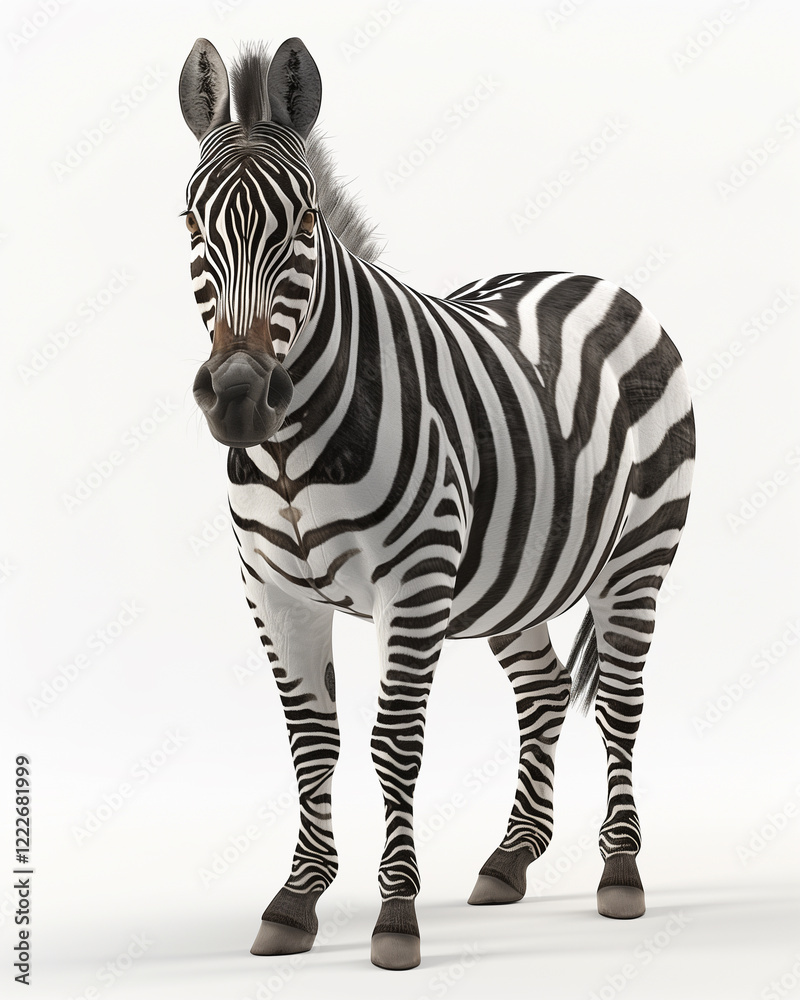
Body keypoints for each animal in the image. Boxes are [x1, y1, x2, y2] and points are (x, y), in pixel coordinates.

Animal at [178, 37, 695, 971]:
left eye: (304, 226)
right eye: (191, 227)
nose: (238, 398)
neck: (292, 449)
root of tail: (592, 278)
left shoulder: (412, 584)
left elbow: (393, 745)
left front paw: (395, 918)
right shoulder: (272, 592)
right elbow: (312, 742)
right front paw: (296, 901)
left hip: (640, 555)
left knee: (621, 704)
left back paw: (621, 873)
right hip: (517, 571)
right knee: (542, 690)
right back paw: (510, 858)